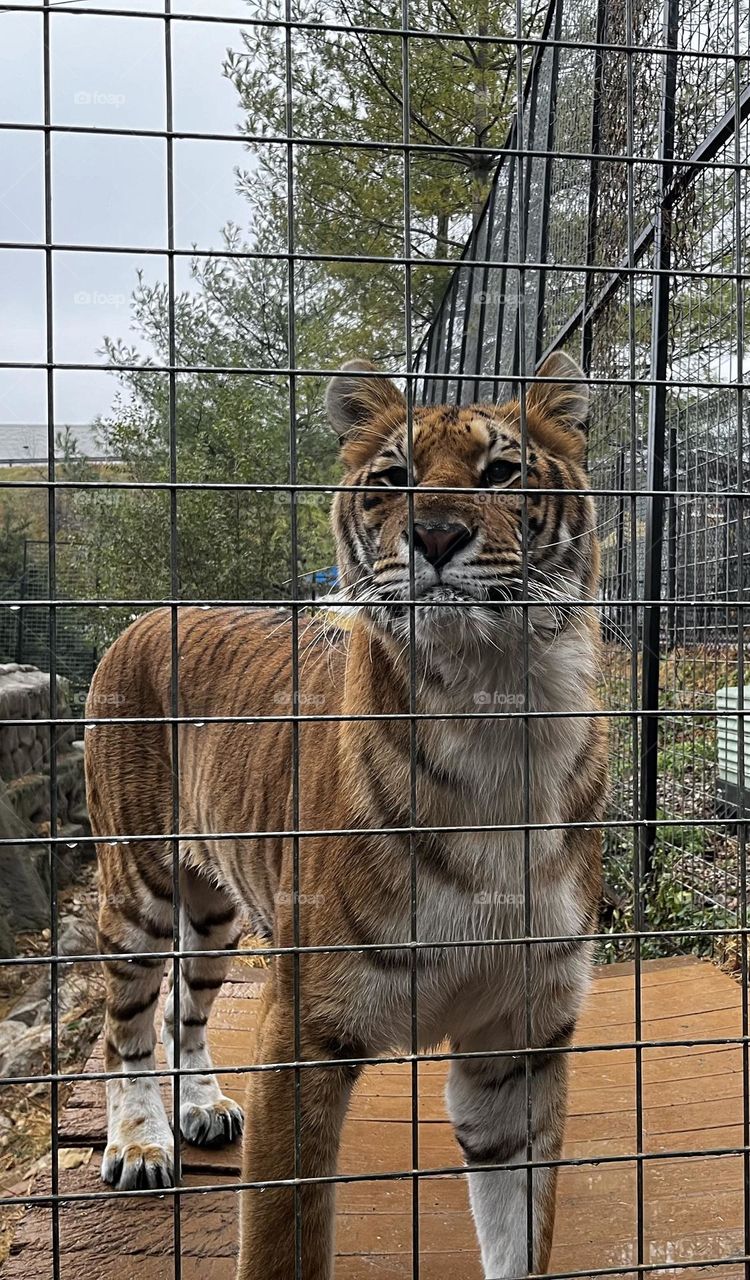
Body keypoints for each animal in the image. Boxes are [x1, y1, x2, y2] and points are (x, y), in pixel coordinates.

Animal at [86, 350, 607, 1280]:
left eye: (501, 472)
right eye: (394, 480)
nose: (435, 535)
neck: (498, 719)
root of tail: (152, 613)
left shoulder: (517, 1039)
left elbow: (519, 1235)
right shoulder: (307, 1029)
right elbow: (281, 1239)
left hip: (216, 915)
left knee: (184, 1006)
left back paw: (203, 1106)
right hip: (137, 886)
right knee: (127, 1026)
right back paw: (142, 1144)